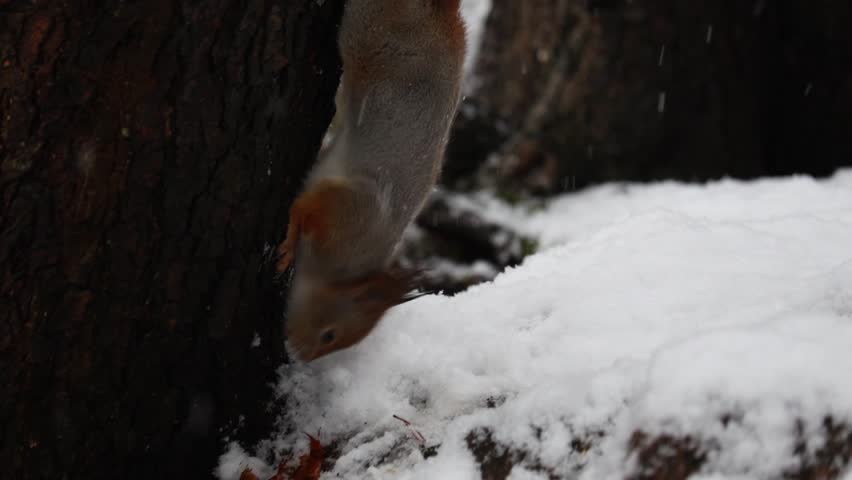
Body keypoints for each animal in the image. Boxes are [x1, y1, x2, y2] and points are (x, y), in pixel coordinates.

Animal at [275, 0, 466, 361]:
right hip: (371, 36)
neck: (344, 269)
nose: (299, 355)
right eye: (330, 335)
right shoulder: (351, 210)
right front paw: (290, 241)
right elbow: (305, 207)